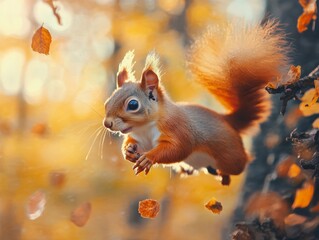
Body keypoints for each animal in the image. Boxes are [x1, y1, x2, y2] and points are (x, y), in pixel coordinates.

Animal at [103, 21, 290, 178]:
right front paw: (128, 150)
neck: (144, 128)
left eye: (133, 104)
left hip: (231, 157)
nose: (107, 123)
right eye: (107, 102)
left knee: (241, 163)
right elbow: (133, 143)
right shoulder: (141, 139)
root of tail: (227, 120)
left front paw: (149, 158)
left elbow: (178, 149)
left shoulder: (179, 129)